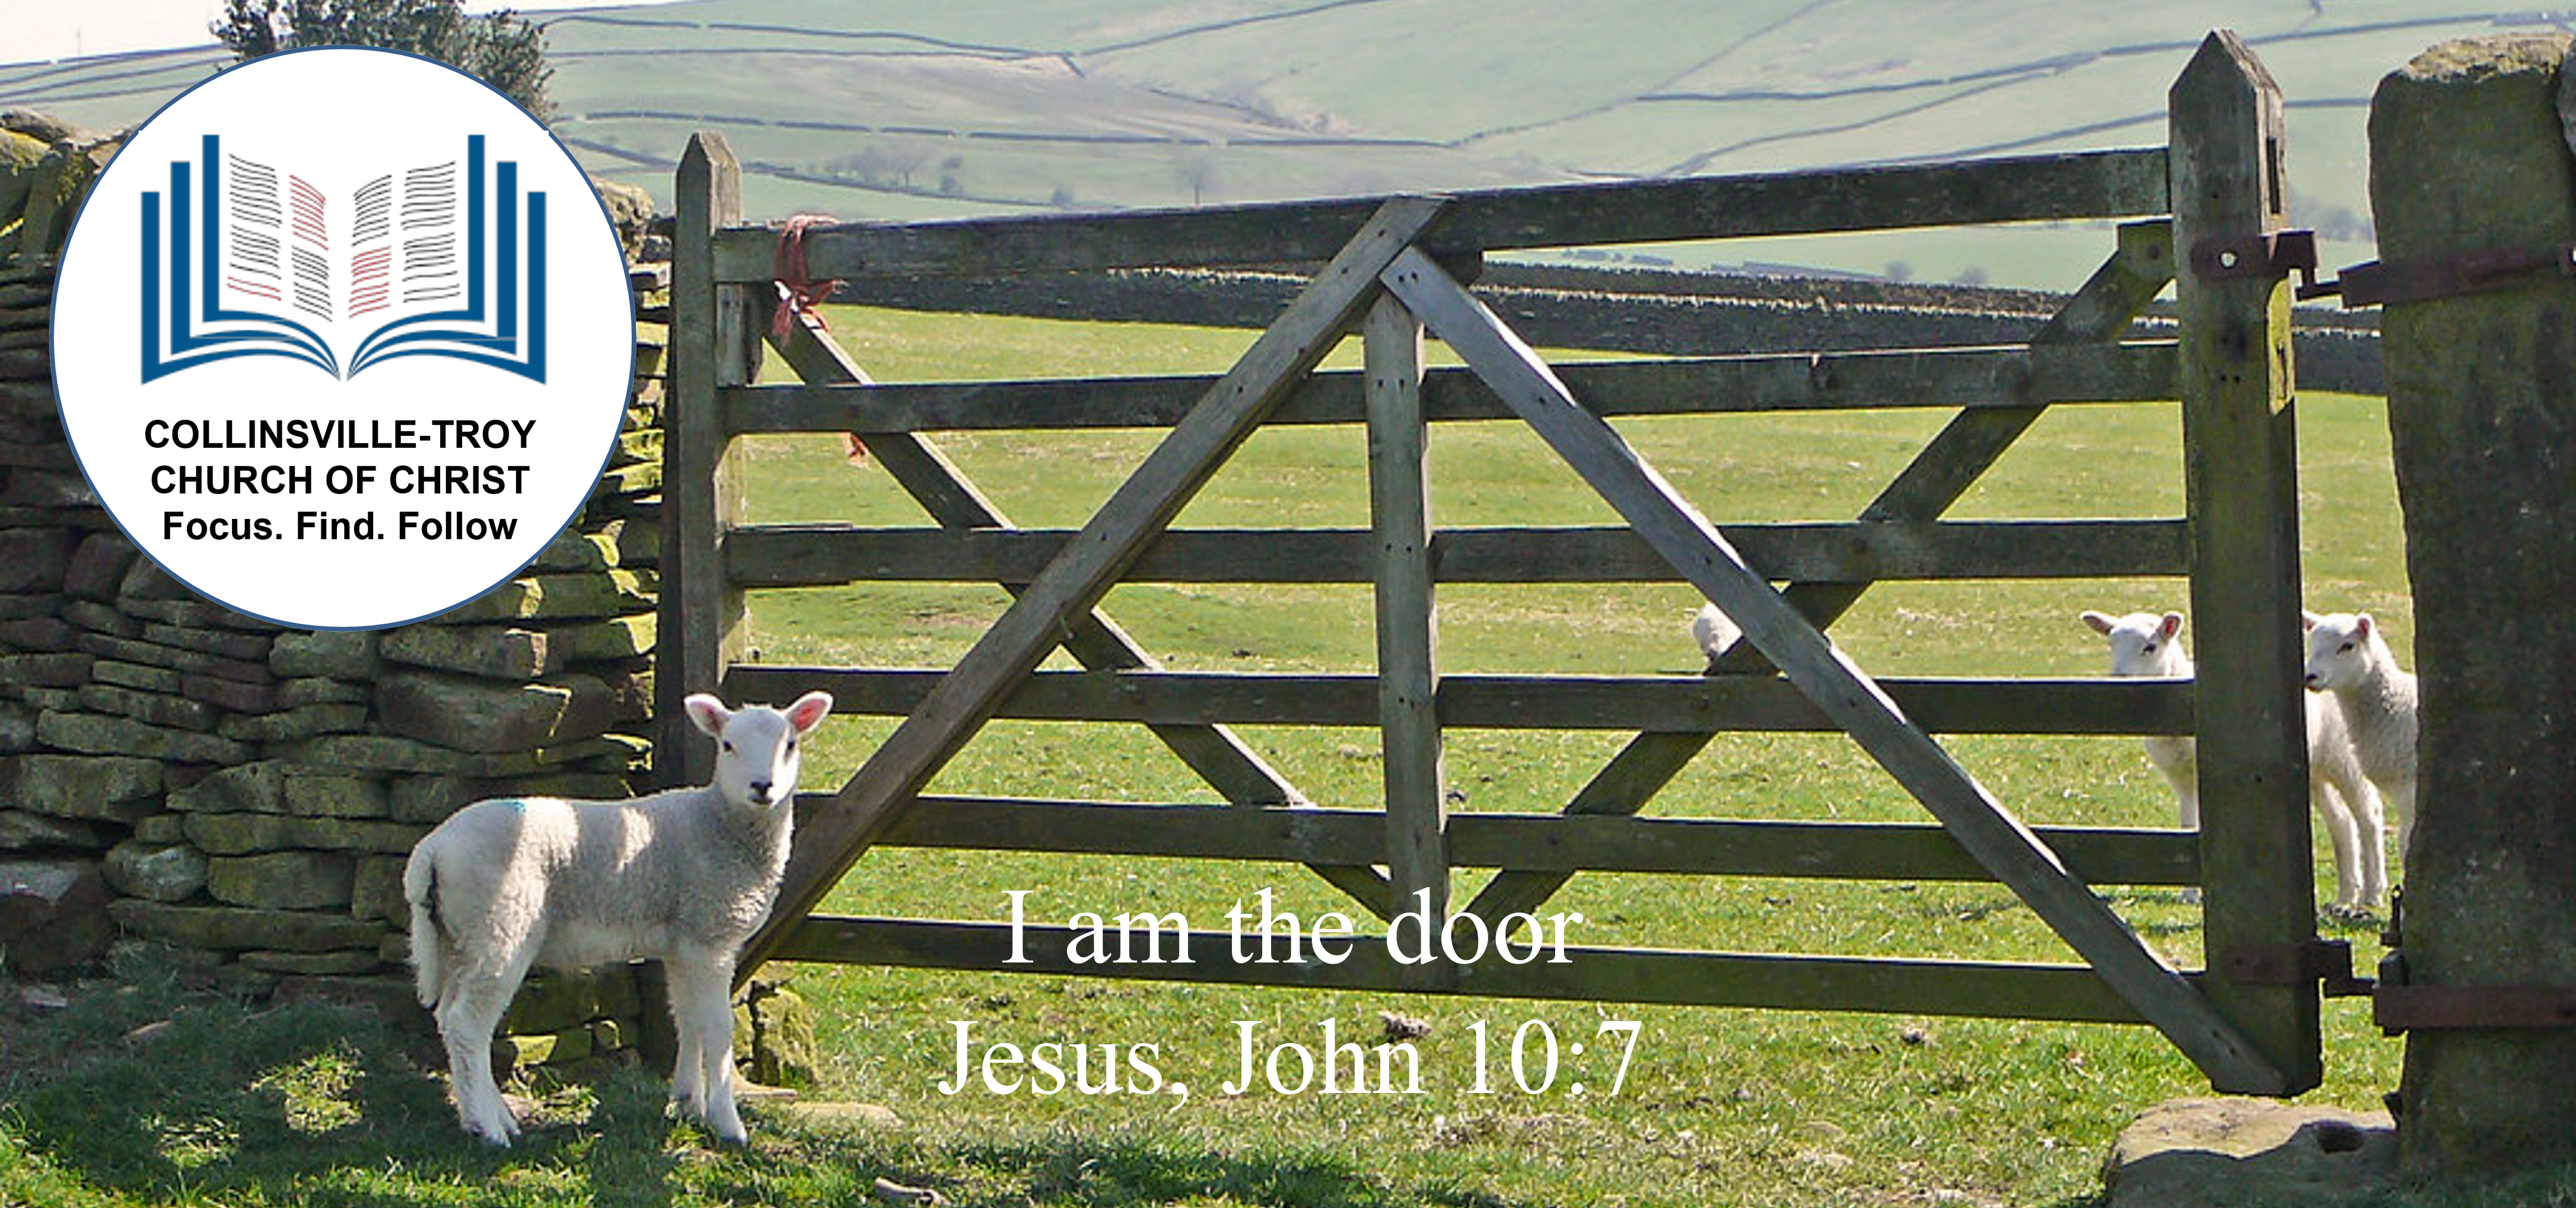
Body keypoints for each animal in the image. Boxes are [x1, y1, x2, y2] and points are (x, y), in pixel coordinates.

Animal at [399, 690, 835, 1143]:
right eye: (728, 745)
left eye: (790, 745)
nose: (762, 787)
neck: (718, 822)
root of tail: (430, 851)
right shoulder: (709, 936)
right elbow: (717, 1028)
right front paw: (728, 1124)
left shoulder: (684, 943)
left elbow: (687, 1018)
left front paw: (687, 1104)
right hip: (500, 925)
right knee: (468, 1023)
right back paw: (488, 1129)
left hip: (457, 936)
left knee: (449, 1017)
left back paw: (491, 1117)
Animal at [2071, 608, 2390, 906]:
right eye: (2111, 644)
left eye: (2150, 647)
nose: (2118, 680)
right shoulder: (2182, 779)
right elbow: (2189, 828)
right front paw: (2190, 893)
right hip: (2316, 770)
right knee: (2341, 821)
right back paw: (2346, 895)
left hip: (2345, 759)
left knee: (2369, 815)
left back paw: (2373, 892)